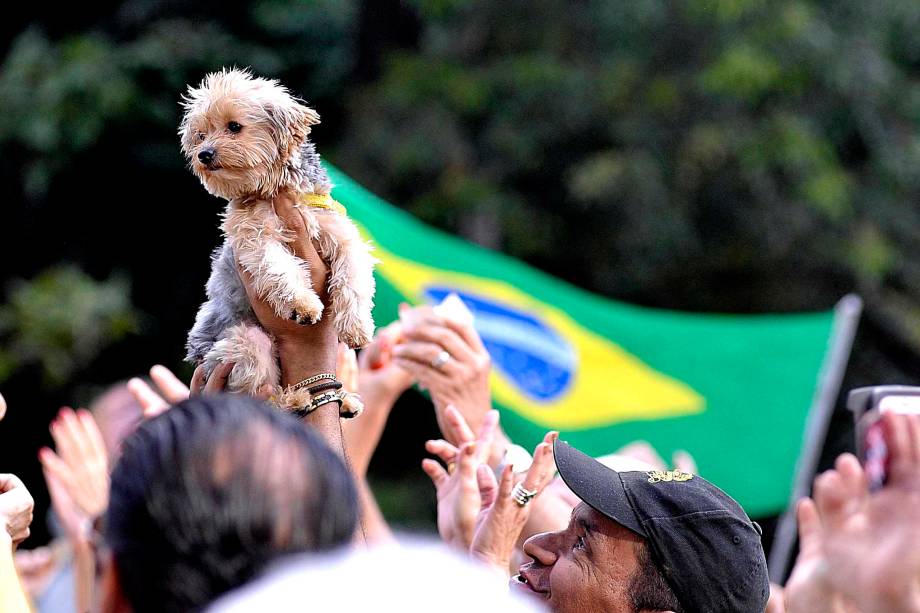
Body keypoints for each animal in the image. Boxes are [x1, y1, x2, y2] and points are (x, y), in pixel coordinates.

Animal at [181, 68, 376, 412]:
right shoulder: (256, 239)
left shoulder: (340, 232)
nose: (203, 154)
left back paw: (344, 400)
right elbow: (281, 268)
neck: (271, 188)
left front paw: (357, 326)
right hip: (246, 344)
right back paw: (295, 398)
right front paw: (303, 304)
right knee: (262, 397)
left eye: (234, 126)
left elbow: (354, 278)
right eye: (201, 135)